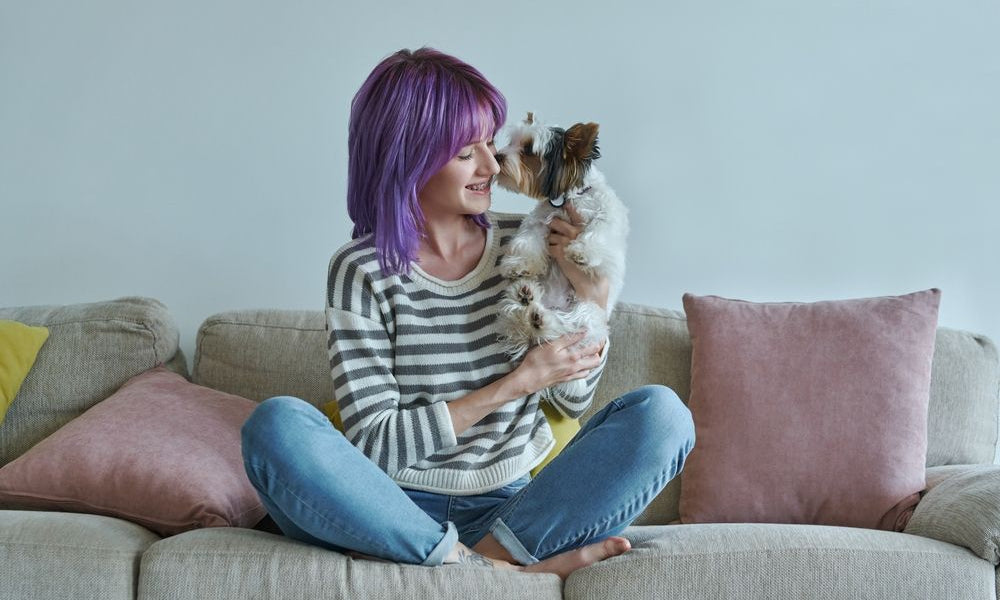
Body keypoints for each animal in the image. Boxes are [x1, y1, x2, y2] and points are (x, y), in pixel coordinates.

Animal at [490, 113, 624, 398]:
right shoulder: (540, 221)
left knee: (561, 329)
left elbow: (597, 231)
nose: (497, 156)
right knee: (524, 323)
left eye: (529, 150)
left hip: (588, 314)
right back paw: (527, 301)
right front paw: (520, 265)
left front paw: (582, 252)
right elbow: (528, 240)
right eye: (512, 142)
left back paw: (539, 318)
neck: (569, 198)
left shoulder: (606, 215)